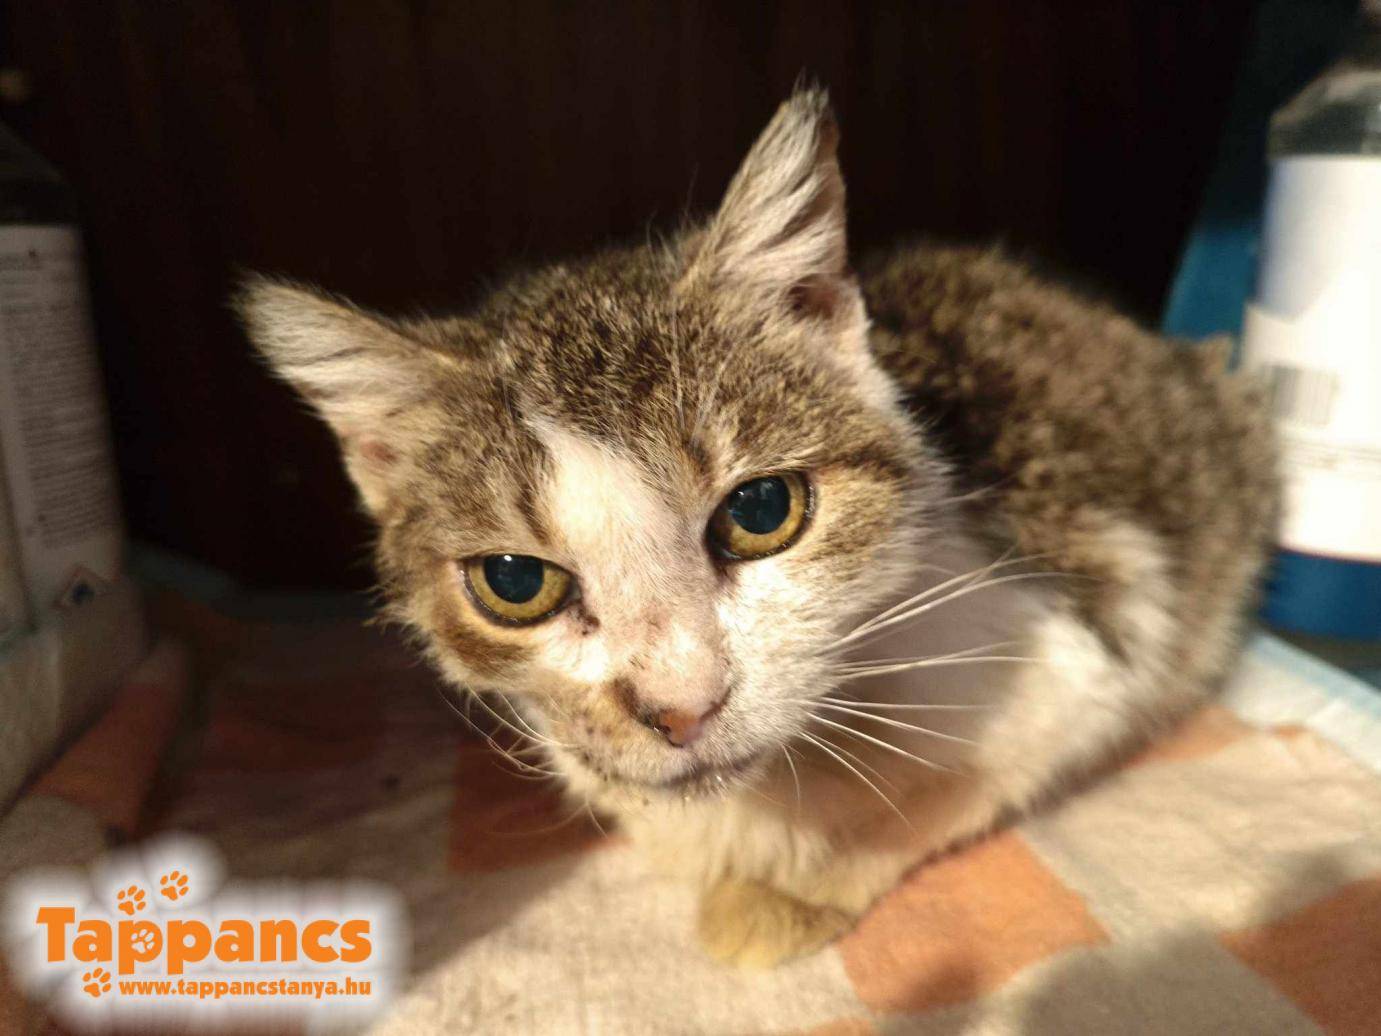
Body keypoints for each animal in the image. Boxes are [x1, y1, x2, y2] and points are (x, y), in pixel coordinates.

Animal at [238, 89, 1278, 968]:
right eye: (515, 582)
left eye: (760, 512)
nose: (679, 708)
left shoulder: (1085, 634)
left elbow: (958, 784)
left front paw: (787, 890)